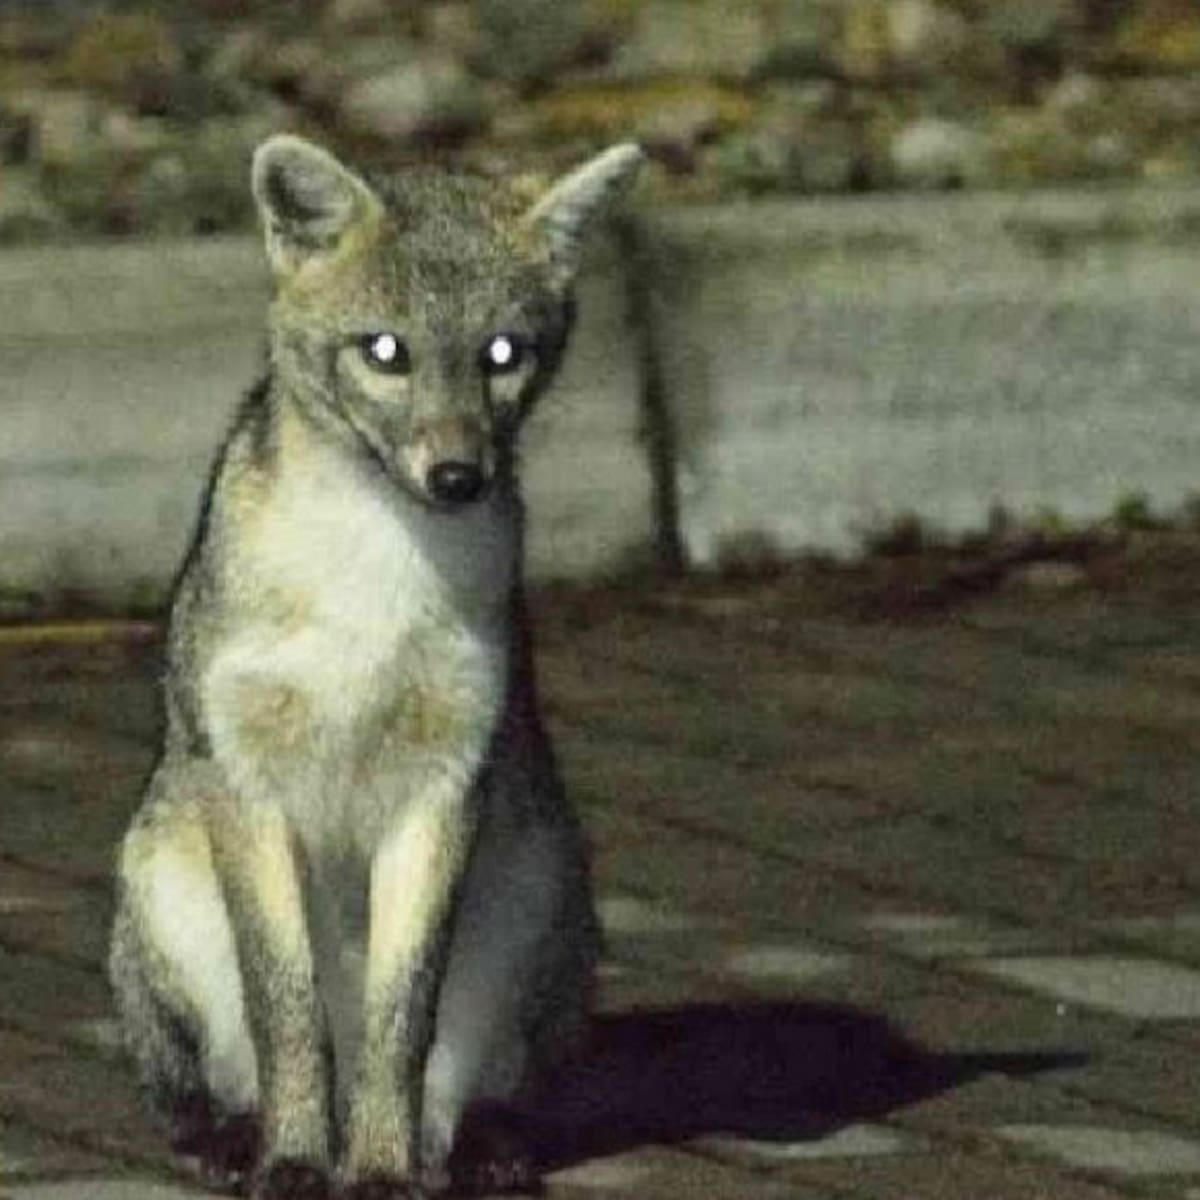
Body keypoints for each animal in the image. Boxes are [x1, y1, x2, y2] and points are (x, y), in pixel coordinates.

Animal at [107, 134, 643, 1199]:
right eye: (385, 351)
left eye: (503, 355)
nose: (458, 477)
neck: (372, 589)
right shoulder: (248, 786)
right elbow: (287, 1014)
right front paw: (294, 1159)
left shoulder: (443, 791)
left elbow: (403, 1024)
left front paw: (382, 1167)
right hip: (160, 877)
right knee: (201, 1083)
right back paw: (234, 1135)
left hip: (543, 893)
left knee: (483, 1086)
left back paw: (472, 1146)